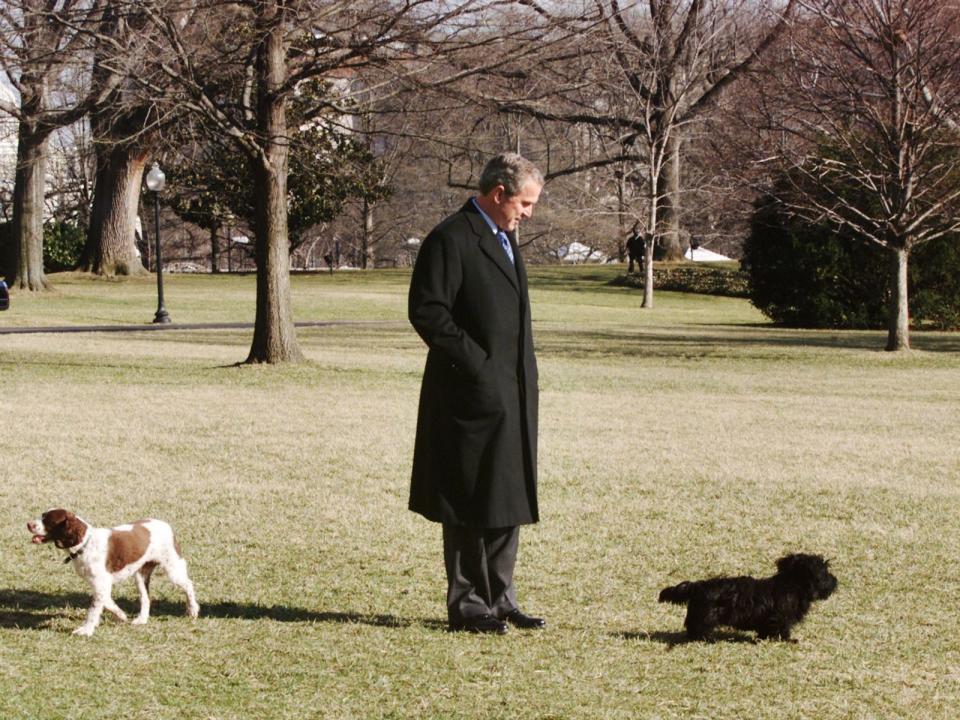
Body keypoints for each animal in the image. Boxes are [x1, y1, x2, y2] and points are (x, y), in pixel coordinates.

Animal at [27, 506, 199, 636]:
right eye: (42, 516)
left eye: (47, 520)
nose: (28, 524)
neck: (85, 544)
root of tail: (166, 525)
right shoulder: (99, 584)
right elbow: (107, 602)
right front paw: (121, 616)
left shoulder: (101, 582)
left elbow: (93, 610)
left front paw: (85, 630)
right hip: (140, 574)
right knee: (145, 598)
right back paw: (141, 619)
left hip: (172, 568)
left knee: (188, 585)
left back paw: (193, 610)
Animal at [660, 552, 832, 640]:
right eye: (825, 573)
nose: (835, 581)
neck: (791, 584)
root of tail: (697, 586)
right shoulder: (780, 618)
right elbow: (781, 630)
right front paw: (787, 640)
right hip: (704, 617)